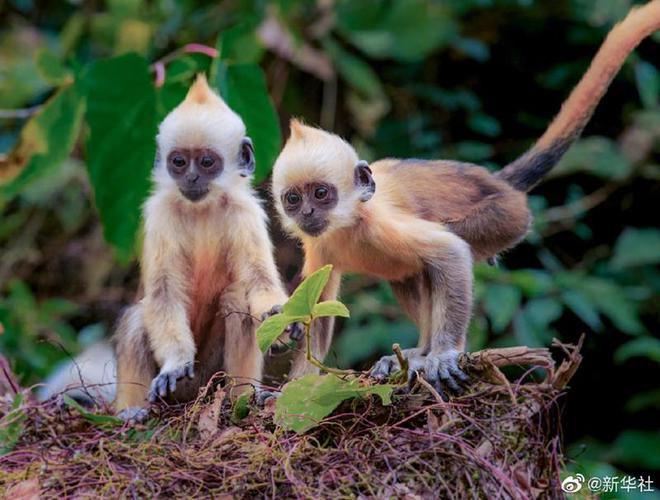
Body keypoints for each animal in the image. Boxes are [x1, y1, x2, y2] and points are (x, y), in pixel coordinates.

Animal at [113, 73, 288, 418]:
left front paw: (279, 318)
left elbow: (259, 281)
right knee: (137, 319)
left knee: (236, 298)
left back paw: (242, 398)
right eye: (179, 162)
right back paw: (131, 411)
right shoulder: (159, 215)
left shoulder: (246, 212)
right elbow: (163, 294)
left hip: (208, 377)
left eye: (207, 162)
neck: (201, 210)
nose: (191, 178)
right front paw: (175, 363)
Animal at [270, 2, 660, 394]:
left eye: (321, 193)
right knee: (407, 274)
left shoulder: (383, 225)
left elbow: (451, 252)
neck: (348, 224)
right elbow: (316, 305)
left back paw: (423, 355)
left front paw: (443, 356)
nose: (307, 212)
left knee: (442, 256)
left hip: (505, 218)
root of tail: (499, 183)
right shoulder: (319, 246)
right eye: (293, 199)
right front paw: (295, 384)